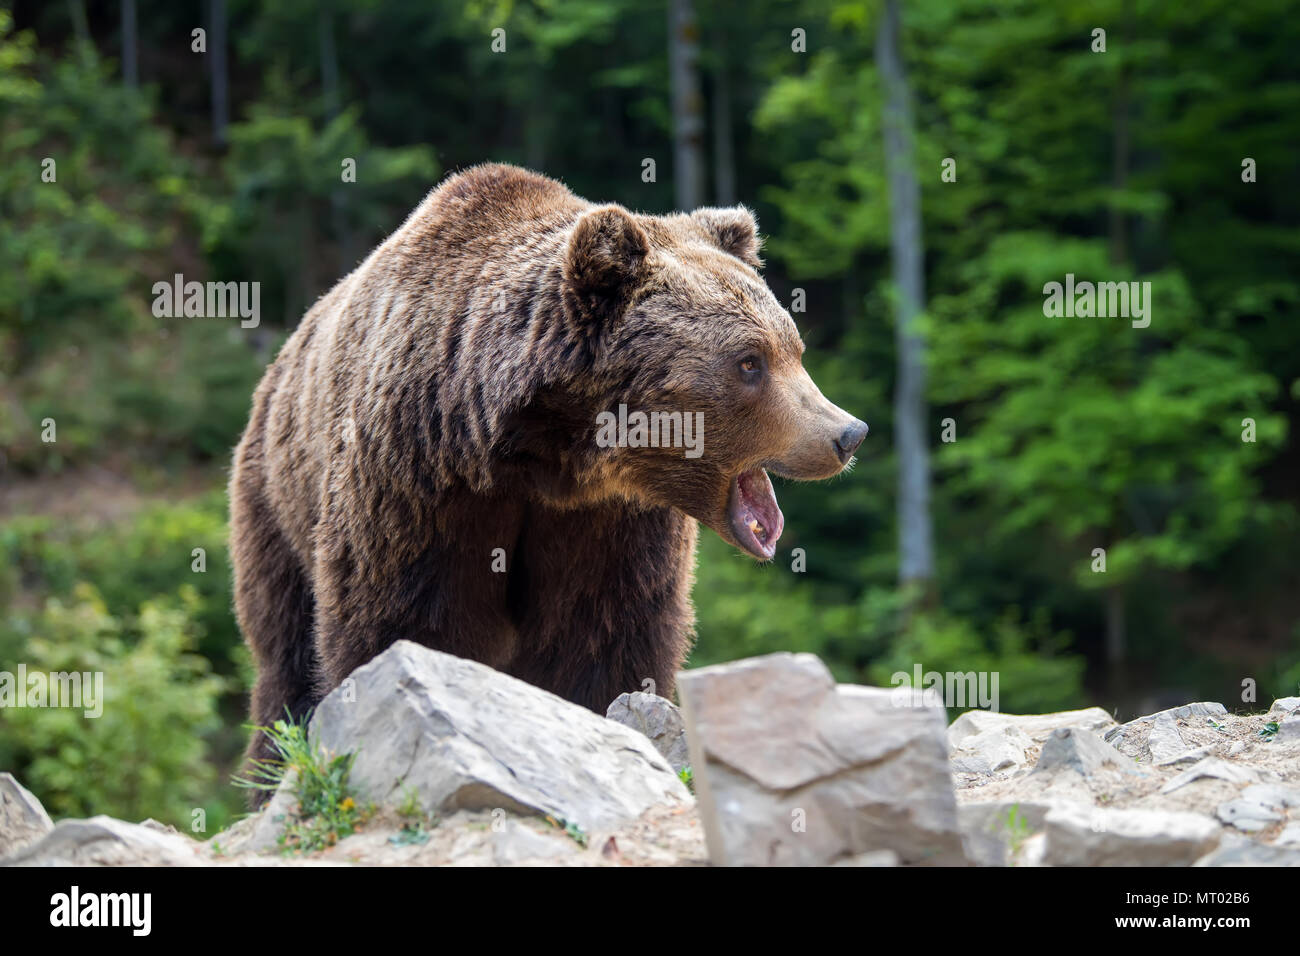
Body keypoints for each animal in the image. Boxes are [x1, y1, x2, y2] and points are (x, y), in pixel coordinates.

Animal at [230, 166, 868, 790]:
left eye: (793, 348)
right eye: (749, 362)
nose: (847, 433)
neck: (536, 452)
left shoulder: (606, 521)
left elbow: (603, 633)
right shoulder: (417, 481)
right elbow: (403, 618)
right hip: (276, 500)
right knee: (285, 652)